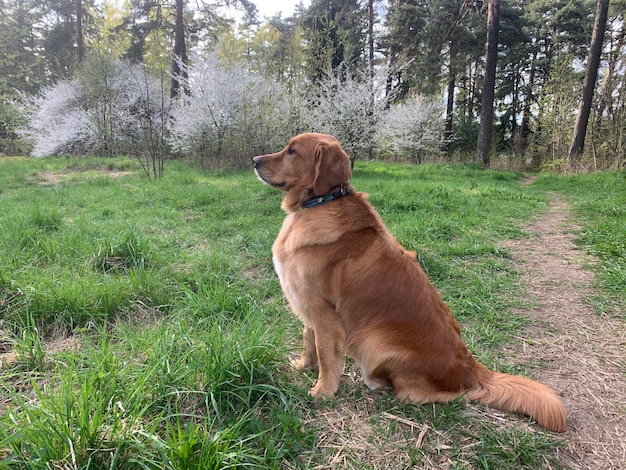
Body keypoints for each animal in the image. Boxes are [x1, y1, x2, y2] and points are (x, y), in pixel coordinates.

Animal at [252, 132, 564, 434]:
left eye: (292, 150)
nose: (254, 160)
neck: (321, 202)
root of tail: (468, 367)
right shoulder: (307, 304)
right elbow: (308, 341)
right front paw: (302, 366)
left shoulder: (324, 311)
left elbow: (326, 355)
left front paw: (322, 391)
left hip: (375, 341)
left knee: (440, 394)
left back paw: (378, 383)